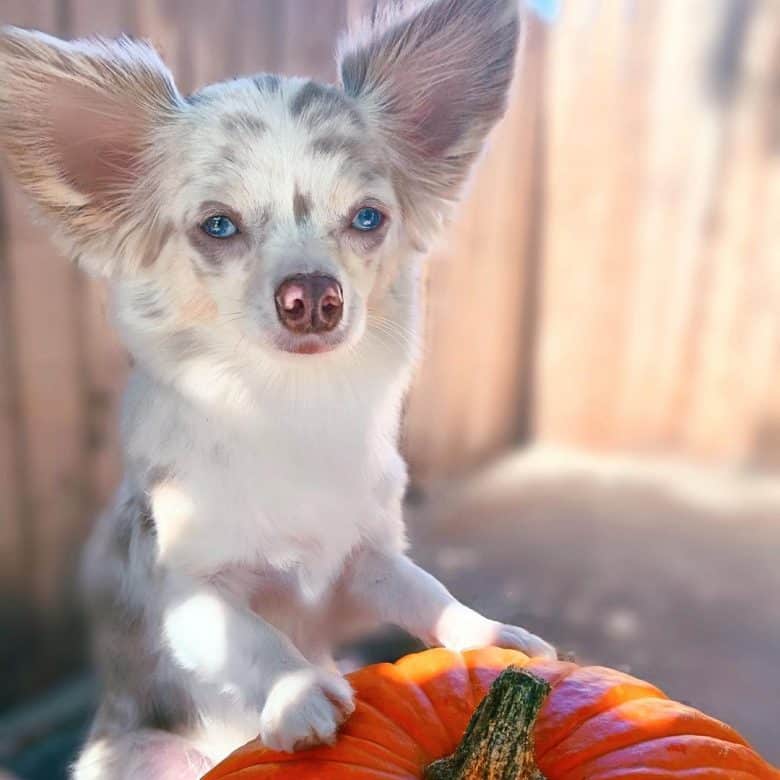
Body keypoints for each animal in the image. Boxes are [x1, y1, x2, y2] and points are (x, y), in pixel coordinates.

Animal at [0, 3, 556, 776]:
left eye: (368, 218)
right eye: (219, 225)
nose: (314, 296)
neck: (287, 406)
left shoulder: (365, 563)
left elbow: (426, 589)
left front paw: (486, 634)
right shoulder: (185, 591)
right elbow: (247, 633)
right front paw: (297, 692)